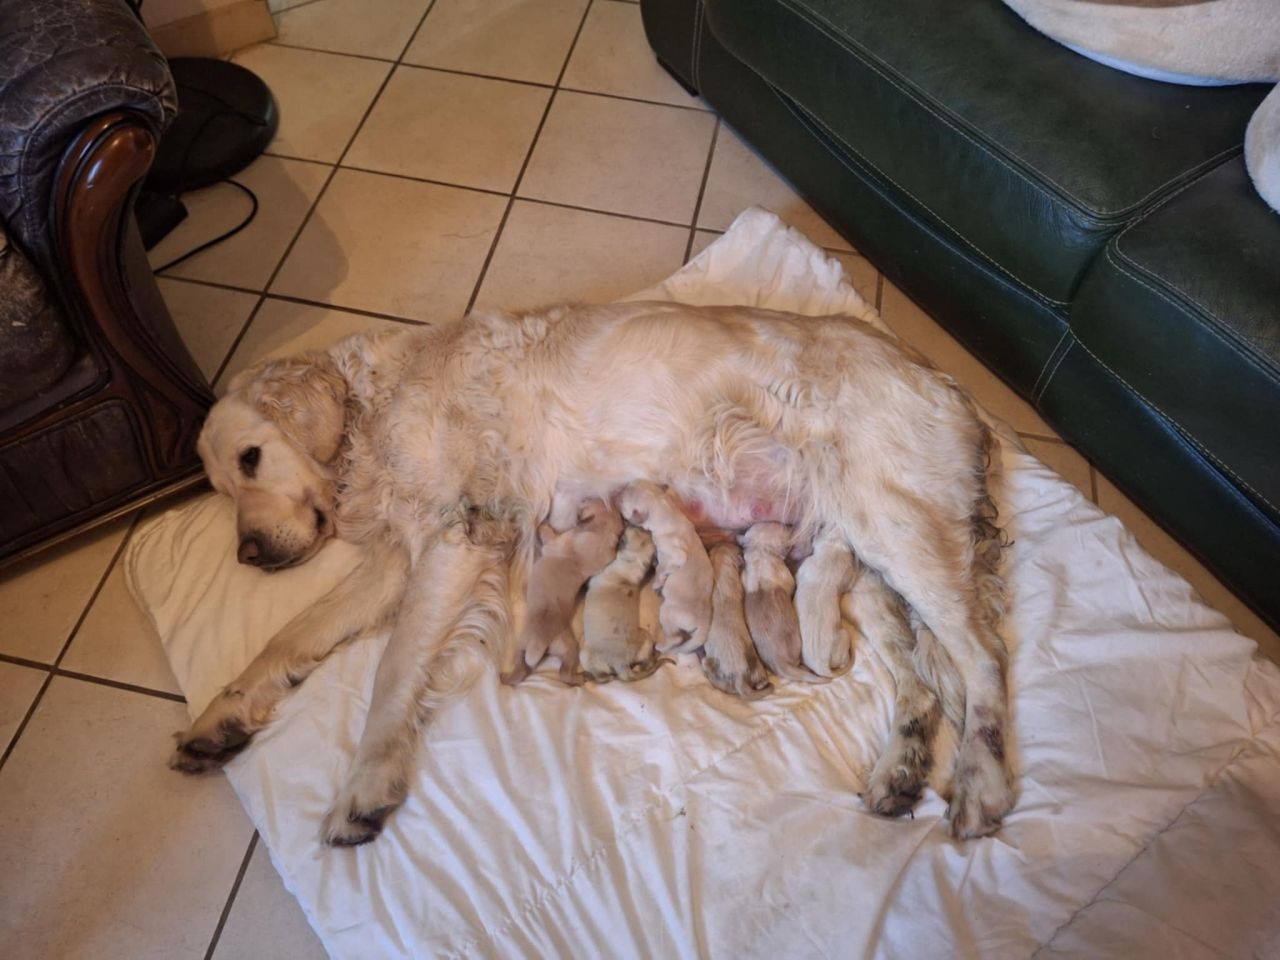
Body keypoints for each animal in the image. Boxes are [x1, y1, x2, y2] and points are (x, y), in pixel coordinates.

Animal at [174, 301, 1010, 844]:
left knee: (983, 659)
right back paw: (902, 771)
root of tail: (953, 386)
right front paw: (219, 718)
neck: (373, 412)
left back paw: (981, 784)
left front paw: (364, 786)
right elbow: (289, 637)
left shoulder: (456, 537)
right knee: (922, 674)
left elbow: (394, 670)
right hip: (853, 553)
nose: (249, 554)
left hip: (895, 524)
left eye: (253, 457)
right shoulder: (395, 559)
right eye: (219, 485)